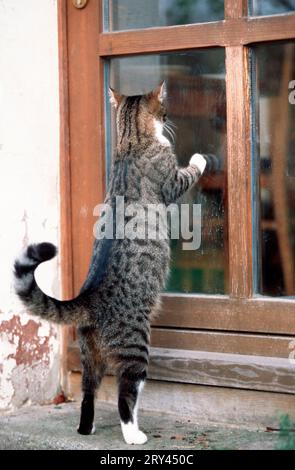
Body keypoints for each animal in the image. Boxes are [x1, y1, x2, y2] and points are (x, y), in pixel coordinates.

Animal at [13, 81, 207, 444]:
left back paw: (87, 428)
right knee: (124, 395)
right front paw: (200, 158)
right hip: (136, 347)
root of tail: (89, 299)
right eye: (164, 109)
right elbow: (187, 173)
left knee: (88, 393)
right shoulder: (171, 180)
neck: (130, 139)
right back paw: (134, 434)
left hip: (90, 357)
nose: (169, 118)